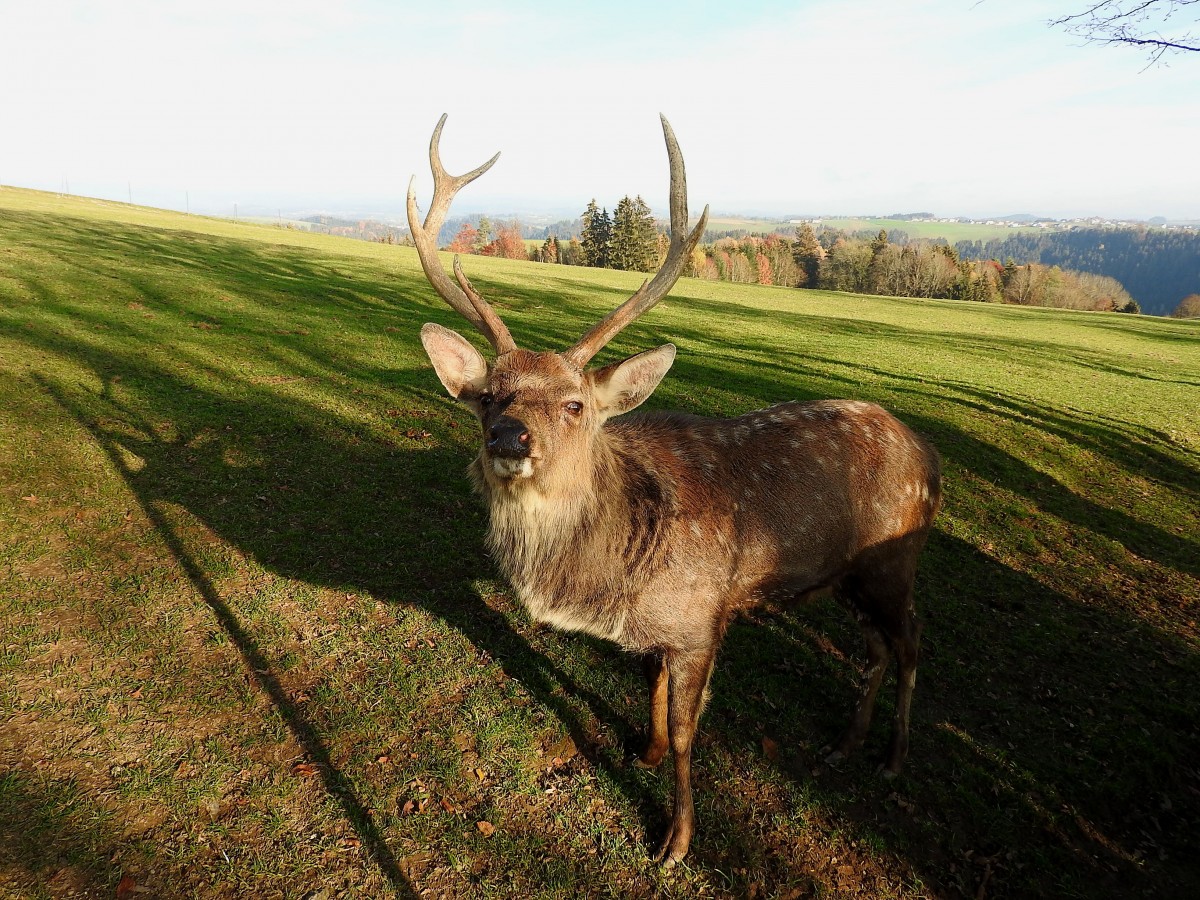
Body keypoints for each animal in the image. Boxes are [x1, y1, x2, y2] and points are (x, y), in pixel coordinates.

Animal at [408, 114, 940, 868]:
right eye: (487, 397)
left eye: (575, 405)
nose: (510, 439)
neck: (615, 572)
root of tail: (931, 457)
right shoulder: (667, 628)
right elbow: (654, 692)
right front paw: (647, 751)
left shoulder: (699, 617)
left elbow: (691, 730)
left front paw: (676, 839)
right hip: (848, 577)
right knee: (874, 649)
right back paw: (844, 746)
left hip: (896, 560)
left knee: (913, 642)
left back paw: (892, 760)